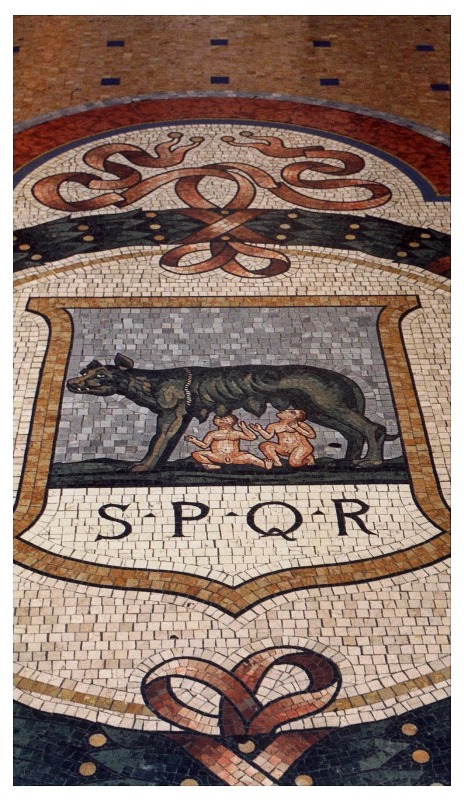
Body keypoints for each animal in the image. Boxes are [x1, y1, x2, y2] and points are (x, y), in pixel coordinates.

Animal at [67, 353, 398, 472]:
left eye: (101, 376)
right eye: (85, 371)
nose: (71, 383)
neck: (151, 381)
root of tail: (345, 378)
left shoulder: (171, 415)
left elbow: (157, 442)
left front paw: (144, 466)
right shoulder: (182, 417)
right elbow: (168, 445)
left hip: (329, 407)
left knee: (373, 428)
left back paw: (371, 462)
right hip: (320, 412)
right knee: (354, 433)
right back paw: (348, 460)